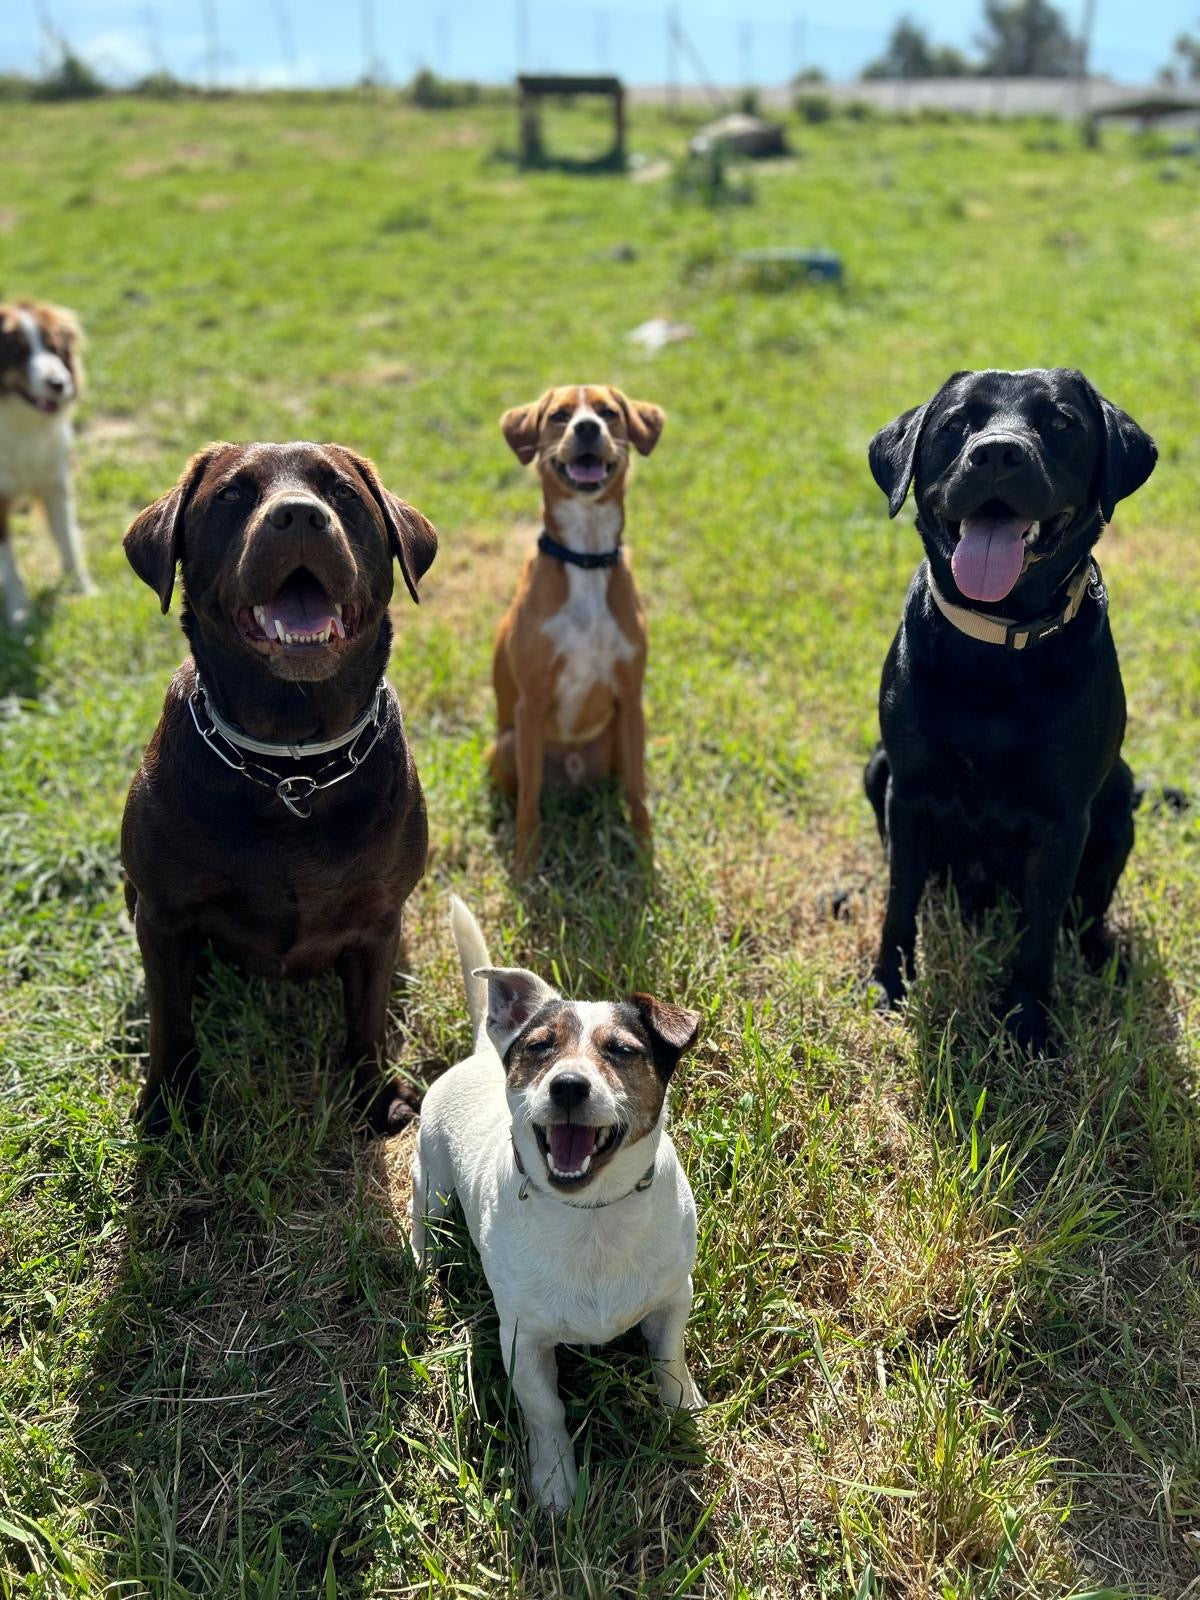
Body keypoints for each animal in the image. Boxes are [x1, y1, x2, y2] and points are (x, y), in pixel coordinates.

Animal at [0, 300, 92, 624]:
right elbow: (9, 564)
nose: (59, 384)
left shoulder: (54, 481)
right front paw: (19, 612)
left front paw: (84, 590)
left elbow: (67, 539)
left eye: (55, 348)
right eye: (17, 351)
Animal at [120, 441, 438, 1139]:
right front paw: (167, 1104)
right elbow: (170, 1022)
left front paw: (374, 1095)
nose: (298, 516)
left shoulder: (379, 922)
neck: (291, 769)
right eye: (233, 495)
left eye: (341, 491)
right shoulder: (163, 916)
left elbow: (367, 1021)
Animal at [412, 902, 704, 1510]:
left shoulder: (673, 1298)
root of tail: (483, 1051)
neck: (591, 1216)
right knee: (418, 1206)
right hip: (435, 1184)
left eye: (622, 1050)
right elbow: (545, 1410)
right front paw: (554, 1482)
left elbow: (669, 1358)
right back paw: (423, 1257)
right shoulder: (522, 1339)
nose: (567, 1085)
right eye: (540, 1047)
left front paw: (683, 1412)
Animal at [486, 385, 662, 883]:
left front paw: (645, 862)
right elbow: (529, 804)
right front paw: (526, 869)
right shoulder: (530, 703)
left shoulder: (631, 697)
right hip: (506, 745)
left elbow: (639, 797)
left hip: (618, 740)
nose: (587, 428)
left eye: (609, 412)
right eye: (559, 416)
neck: (585, 557)